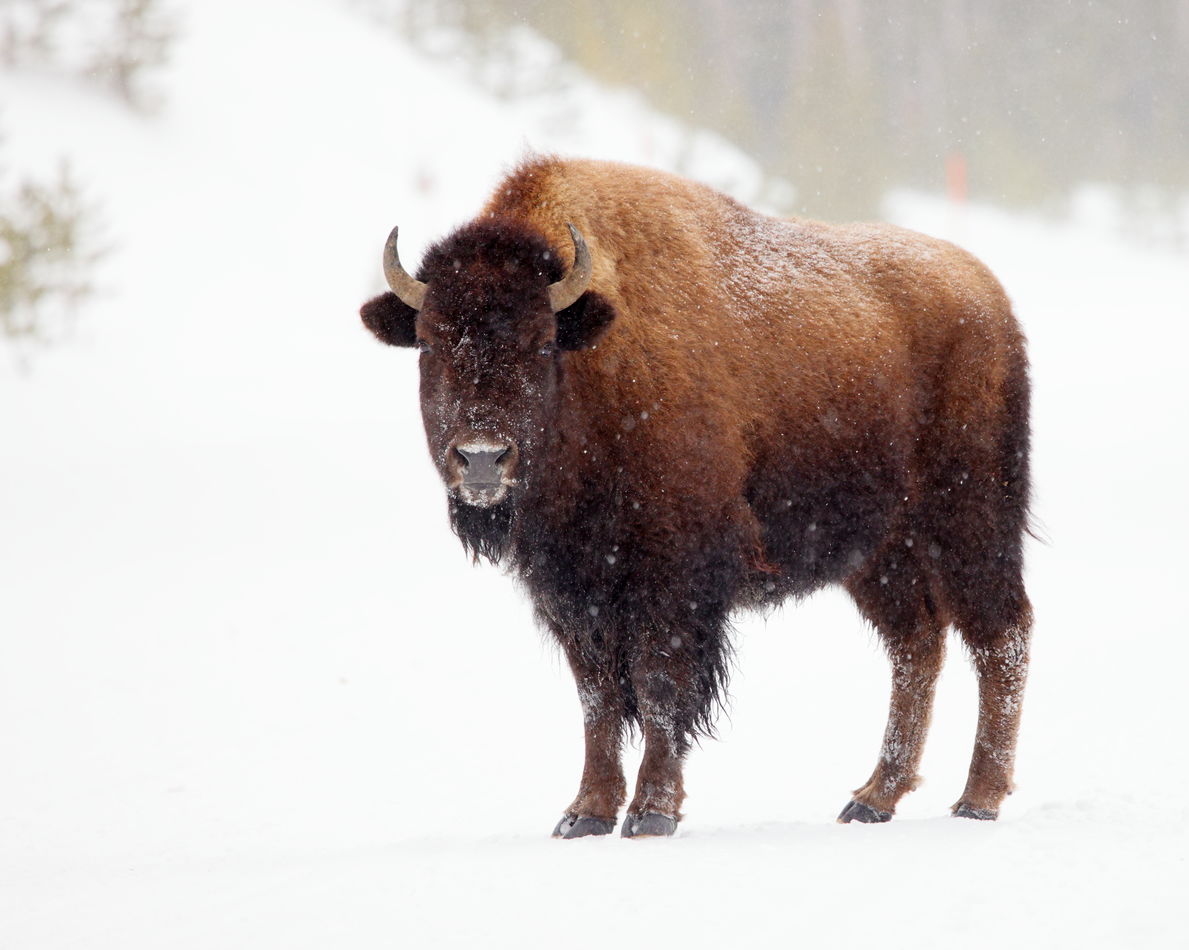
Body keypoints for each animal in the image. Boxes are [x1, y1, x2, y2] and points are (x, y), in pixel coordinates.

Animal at [359, 155, 1032, 841]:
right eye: (430, 342)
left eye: (541, 342)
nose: (482, 459)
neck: (595, 357)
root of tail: (987, 295)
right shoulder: (572, 587)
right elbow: (597, 696)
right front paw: (585, 813)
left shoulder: (673, 573)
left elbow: (658, 682)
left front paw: (652, 811)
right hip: (878, 554)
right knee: (918, 644)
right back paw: (873, 797)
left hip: (970, 520)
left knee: (1000, 635)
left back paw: (978, 798)